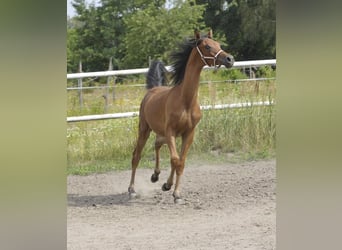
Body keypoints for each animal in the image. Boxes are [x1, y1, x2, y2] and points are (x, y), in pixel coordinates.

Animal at [128, 30, 235, 204]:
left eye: (219, 44)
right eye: (207, 46)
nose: (229, 59)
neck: (186, 101)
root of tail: (152, 90)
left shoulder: (188, 133)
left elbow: (180, 162)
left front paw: (174, 191)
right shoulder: (171, 131)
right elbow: (175, 160)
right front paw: (173, 190)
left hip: (162, 133)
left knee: (157, 144)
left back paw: (157, 177)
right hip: (144, 129)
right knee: (136, 156)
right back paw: (132, 190)